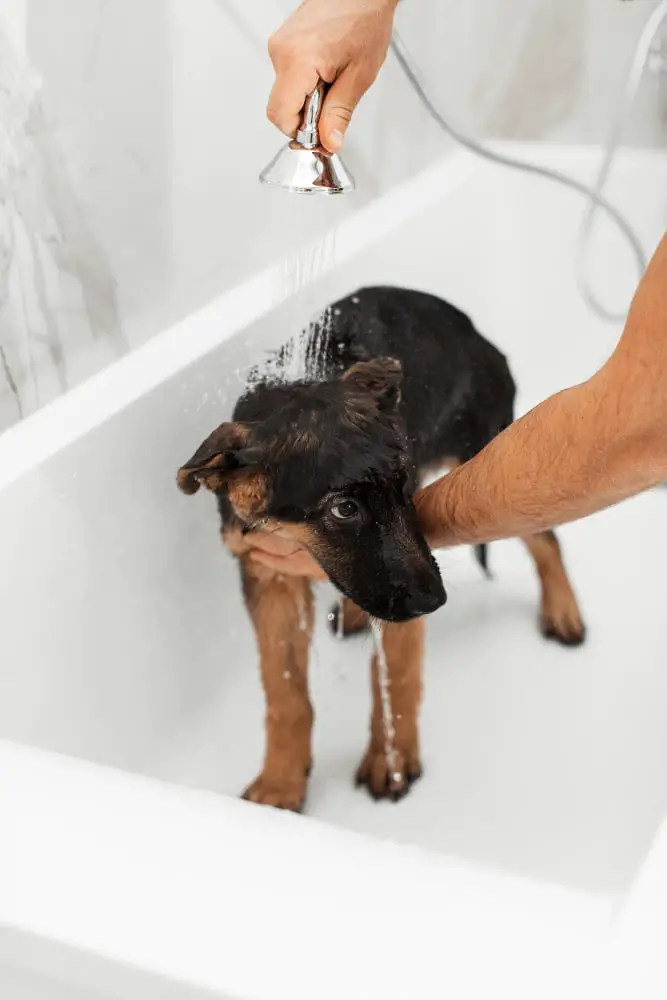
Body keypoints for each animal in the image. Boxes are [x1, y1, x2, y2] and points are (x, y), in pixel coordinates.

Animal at [177, 284, 584, 812]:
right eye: (344, 509)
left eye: (403, 486)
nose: (436, 602)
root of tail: (475, 332)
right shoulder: (269, 578)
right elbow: (284, 693)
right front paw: (281, 783)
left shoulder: (404, 583)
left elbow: (395, 676)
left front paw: (391, 760)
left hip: (494, 459)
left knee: (546, 538)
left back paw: (563, 612)